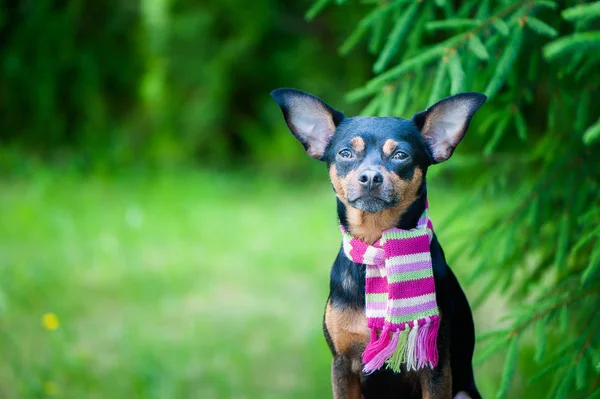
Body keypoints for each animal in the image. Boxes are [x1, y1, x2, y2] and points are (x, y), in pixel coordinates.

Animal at [272, 88, 488, 399]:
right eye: (346, 153)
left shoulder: (436, 367)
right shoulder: (342, 365)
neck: (377, 246)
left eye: (400, 155)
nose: (371, 177)